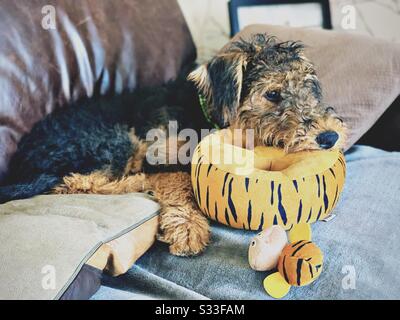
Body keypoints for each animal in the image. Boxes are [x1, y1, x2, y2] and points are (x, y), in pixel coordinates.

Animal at [0, 34, 346, 255]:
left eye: (309, 86)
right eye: (272, 94)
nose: (330, 137)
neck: (204, 113)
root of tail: (20, 161)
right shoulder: (160, 153)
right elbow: (179, 185)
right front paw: (189, 228)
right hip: (111, 141)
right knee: (76, 182)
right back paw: (137, 181)